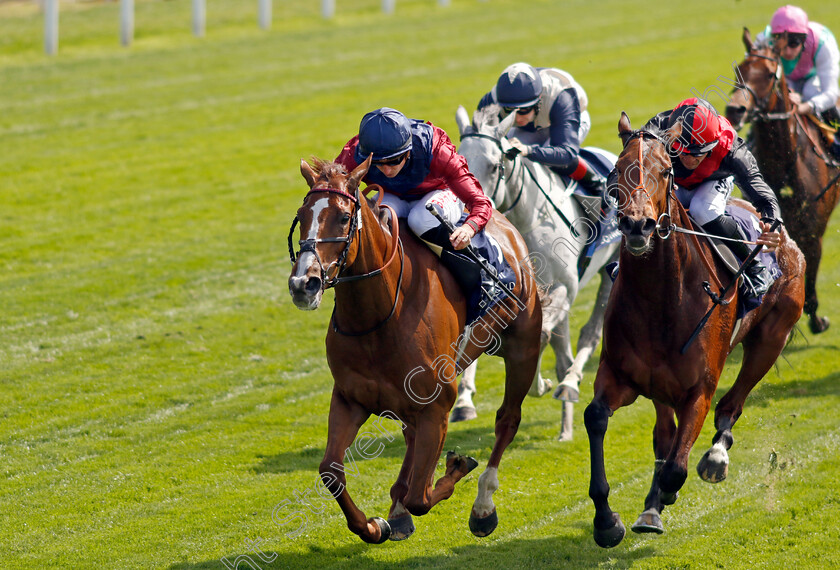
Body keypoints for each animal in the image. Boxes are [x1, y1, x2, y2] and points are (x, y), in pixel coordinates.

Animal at [288, 154, 540, 540]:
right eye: (302, 215)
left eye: (344, 217)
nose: (304, 283)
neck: (378, 317)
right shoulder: (350, 398)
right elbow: (331, 470)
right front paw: (374, 525)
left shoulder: (438, 405)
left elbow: (422, 496)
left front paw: (455, 467)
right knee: (410, 438)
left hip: (523, 350)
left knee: (507, 420)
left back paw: (483, 506)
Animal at [452, 103, 616, 440]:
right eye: (461, 161)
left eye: (495, 166)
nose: (467, 217)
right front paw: (463, 401)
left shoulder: (562, 290)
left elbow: (539, 335)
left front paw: (540, 385)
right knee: (563, 350)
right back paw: (565, 425)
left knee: (590, 333)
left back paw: (569, 385)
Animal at [584, 112, 808, 544]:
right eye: (617, 170)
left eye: (665, 171)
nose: (637, 226)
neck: (660, 302)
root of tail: (787, 240)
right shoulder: (620, 376)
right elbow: (596, 417)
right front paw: (607, 521)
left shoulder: (698, 389)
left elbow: (677, 467)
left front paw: (662, 497)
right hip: (660, 386)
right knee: (664, 433)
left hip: (771, 338)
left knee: (731, 405)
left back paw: (716, 456)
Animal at [724, 27, 836, 332]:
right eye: (739, 69)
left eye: (769, 74)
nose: (735, 110)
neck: (786, 165)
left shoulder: (812, 232)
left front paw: (818, 320)